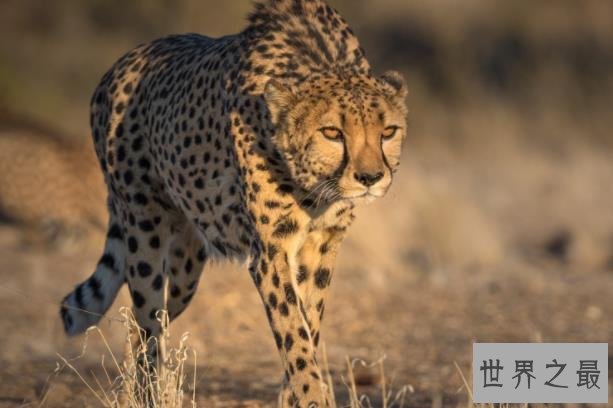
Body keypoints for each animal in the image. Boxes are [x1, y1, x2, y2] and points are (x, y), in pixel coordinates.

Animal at [59, 0, 408, 405]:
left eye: (388, 132)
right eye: (332, 132)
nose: (370, 178)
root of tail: (118, 66)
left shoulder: (322, 243)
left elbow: (309, 321)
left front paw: (295, 393)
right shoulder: (270, 250)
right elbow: (293, 330)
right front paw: (310, 394)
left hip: (186, 265)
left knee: (144, 321)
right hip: (144, 230)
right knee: (147, 323)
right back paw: (147, 393)